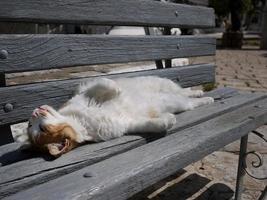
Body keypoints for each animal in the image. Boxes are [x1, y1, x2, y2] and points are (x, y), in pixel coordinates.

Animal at [23, 76, 216, 157]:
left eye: (36, 126)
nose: (33, 113)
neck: (84, 123)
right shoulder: (126, 124)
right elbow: (150, 124)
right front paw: (166, 120)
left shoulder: (83, 92)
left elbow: (104, 83)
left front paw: (116, 88)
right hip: (178, 102)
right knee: (189, 102)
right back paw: (206, 99)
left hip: (168, 87)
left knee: (185, 91)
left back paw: (199, 92)